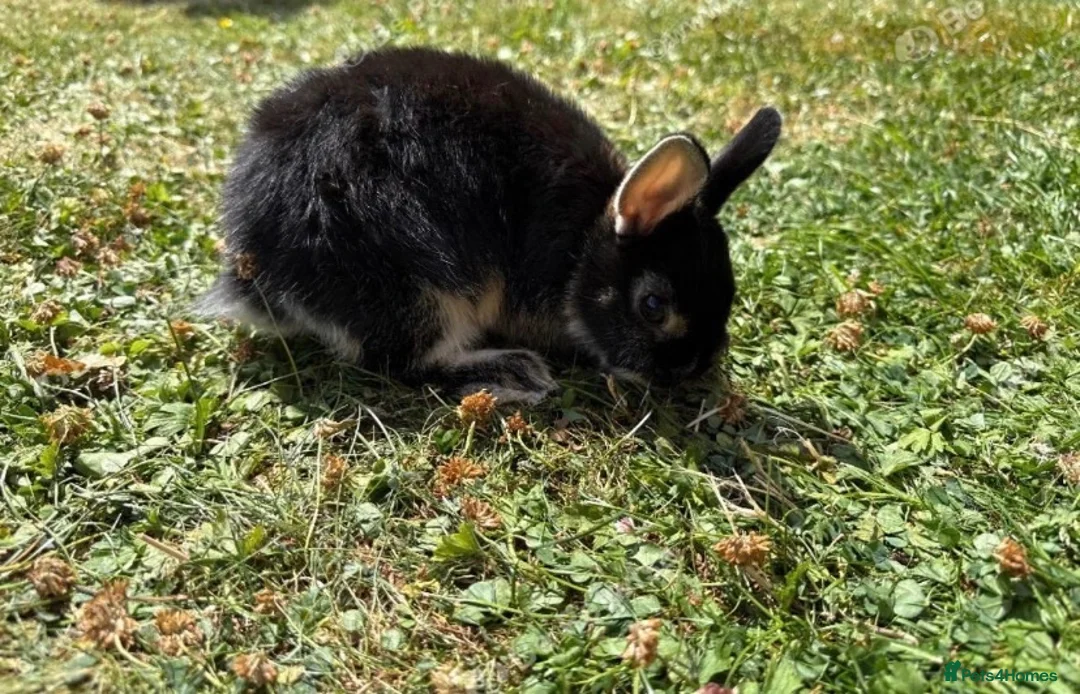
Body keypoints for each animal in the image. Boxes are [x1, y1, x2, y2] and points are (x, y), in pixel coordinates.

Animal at [197, 47, 781, 404]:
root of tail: (256, 270)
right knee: (402, 363)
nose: (689, 370)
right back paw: (516, 371)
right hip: (420, 288)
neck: (580, 247)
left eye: (730, 294)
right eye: (653, 306)